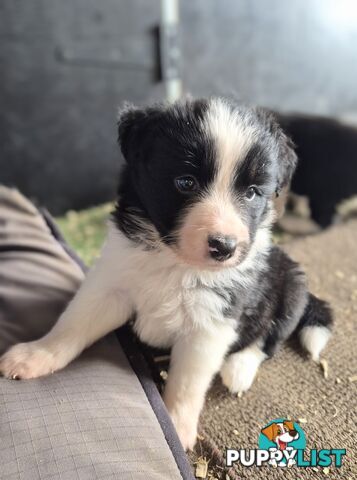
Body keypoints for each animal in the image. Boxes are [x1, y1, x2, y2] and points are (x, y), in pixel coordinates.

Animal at [0, 96, 330, 450]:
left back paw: (239, 369)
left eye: (253, 191)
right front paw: (34, 356)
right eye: (185, 182)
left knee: (268, 340)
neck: (175, 263)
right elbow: (72, 327)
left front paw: (176, 428)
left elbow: (187, 384)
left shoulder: (211, 324)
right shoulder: (110, 284)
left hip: (291, 289)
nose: (224, 247)